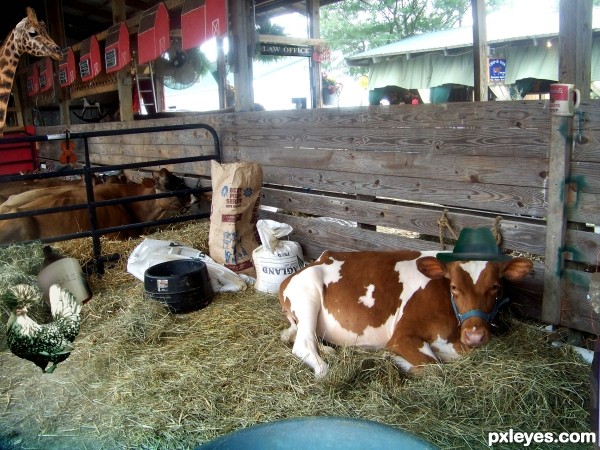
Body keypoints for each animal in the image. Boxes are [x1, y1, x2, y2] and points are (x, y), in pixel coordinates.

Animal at [278, 229, 532, 376]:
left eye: (496, 286)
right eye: (454, 287)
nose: (475, 335)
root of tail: (314, 262)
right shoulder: (402, 336)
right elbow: (433, 368)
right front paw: (394, 359)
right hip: (307, 295)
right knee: (304, 344)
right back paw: (325, 369)